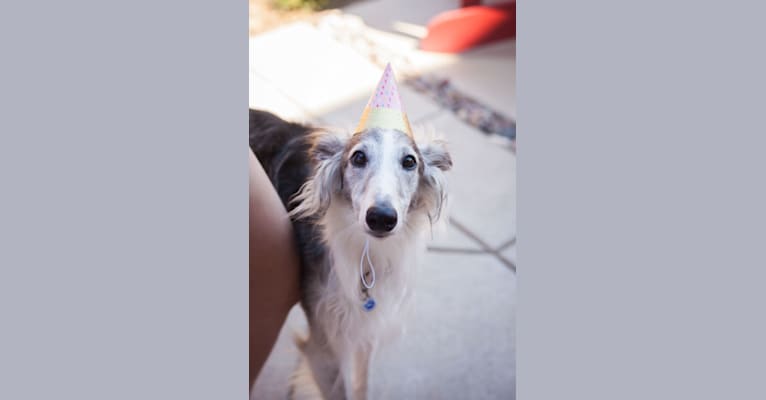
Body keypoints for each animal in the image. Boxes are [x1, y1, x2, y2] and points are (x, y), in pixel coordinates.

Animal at [252, 107, 452, 400]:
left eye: (409, 161)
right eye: (358, 157)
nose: (381, 218)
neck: (366, 251)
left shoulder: (364, 327)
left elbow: (361, 384)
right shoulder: (323, 344)